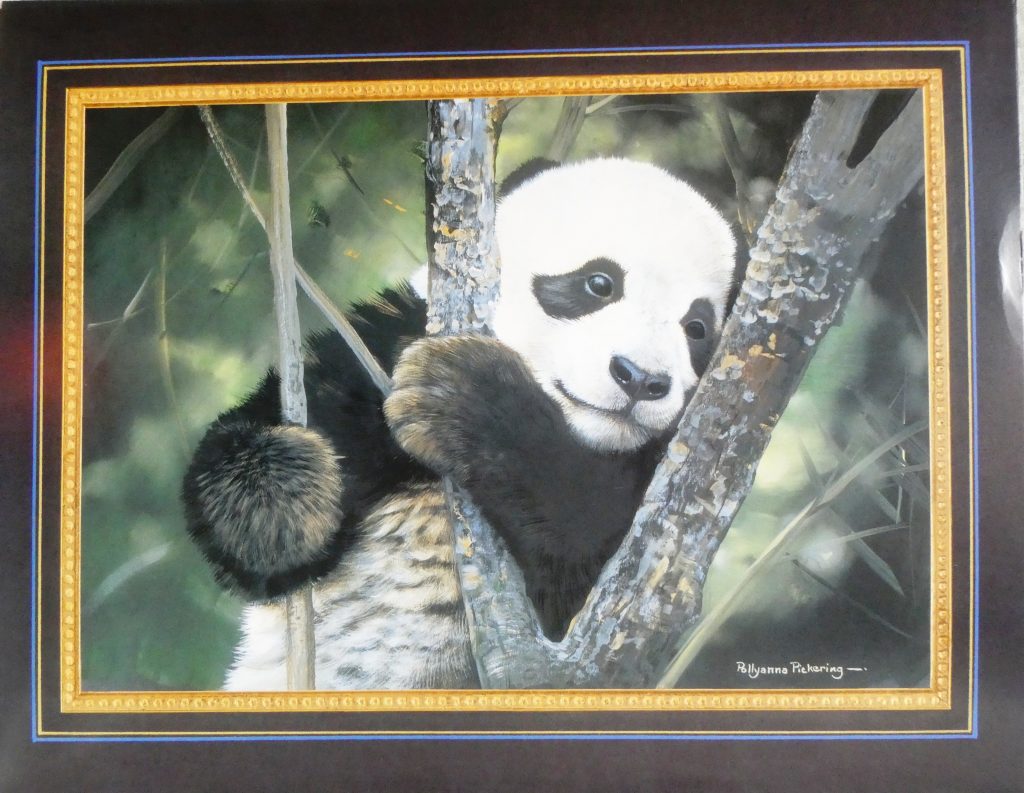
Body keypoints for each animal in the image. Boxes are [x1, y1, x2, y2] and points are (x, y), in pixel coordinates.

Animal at [182, 157, 737, 690]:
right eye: (599, 283)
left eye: (697, 328)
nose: (639, 377)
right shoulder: (379, 349)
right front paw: (287, 507)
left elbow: (595, 551)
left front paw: (467, 397)